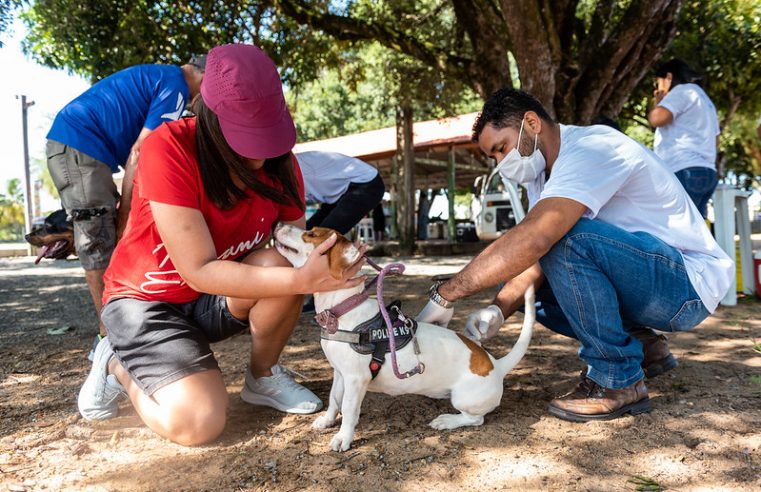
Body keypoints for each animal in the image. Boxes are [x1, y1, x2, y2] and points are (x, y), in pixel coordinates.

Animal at [274, 225, 536, 452]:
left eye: (311, 233)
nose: (278, 224)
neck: (341, 310)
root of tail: (496, 365)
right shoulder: (340, 373)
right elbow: (333, 399)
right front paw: (327, 421)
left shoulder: (356, 379)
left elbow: (348, 409)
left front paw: (343, 438)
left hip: (463, 399)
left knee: (476, 419)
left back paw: (447, 421)